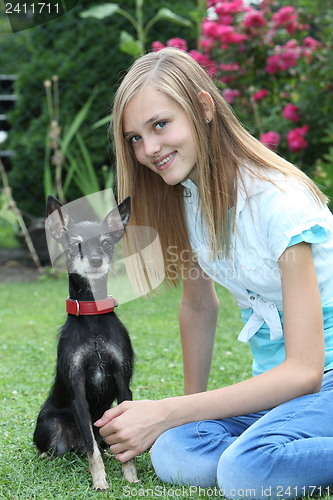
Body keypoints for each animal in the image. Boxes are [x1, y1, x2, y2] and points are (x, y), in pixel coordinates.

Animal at [33, 193, 137, 490]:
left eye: (106, 243)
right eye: (74, 245)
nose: (95, 260)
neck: (92, 319)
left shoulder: (123, 383)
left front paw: (131, 477)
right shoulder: (77, 390)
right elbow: (92, 450)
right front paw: (100, 481)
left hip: (104, 424)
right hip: (50, 425)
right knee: (68, 446)